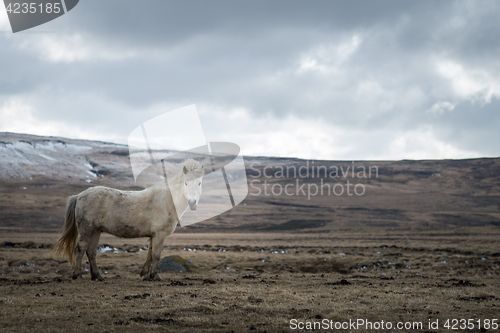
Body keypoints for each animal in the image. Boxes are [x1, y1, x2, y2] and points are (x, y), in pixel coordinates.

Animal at [50, 158, 203, 280]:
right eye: (186, 183)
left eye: (199, 183)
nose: (192, 202)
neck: (167, 199)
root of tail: (79, 195)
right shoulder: (160, 234)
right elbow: (156, 255)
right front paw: (155, 276)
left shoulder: (154, 235)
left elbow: (150, 254)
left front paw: (145, 274)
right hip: (86, 230)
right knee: (80, 250)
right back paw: (77, 275)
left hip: (96, 231)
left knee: (91, 252)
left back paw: (97, 276)